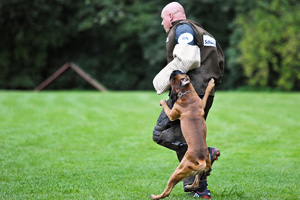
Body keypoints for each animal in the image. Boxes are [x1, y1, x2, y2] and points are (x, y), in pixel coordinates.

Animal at [151, 70, 214, 200]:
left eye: (174, 77)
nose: (174, 70)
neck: (187, 94)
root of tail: (201, 158)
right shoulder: (202, 103)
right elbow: (206, 93)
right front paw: (210, 84)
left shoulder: (172, 114)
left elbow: (166, 107)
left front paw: (162, 102)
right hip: (199, 171)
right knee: (196, 182)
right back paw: (190, 187)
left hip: (179, 170)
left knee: (167, 191)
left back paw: (155, 196)